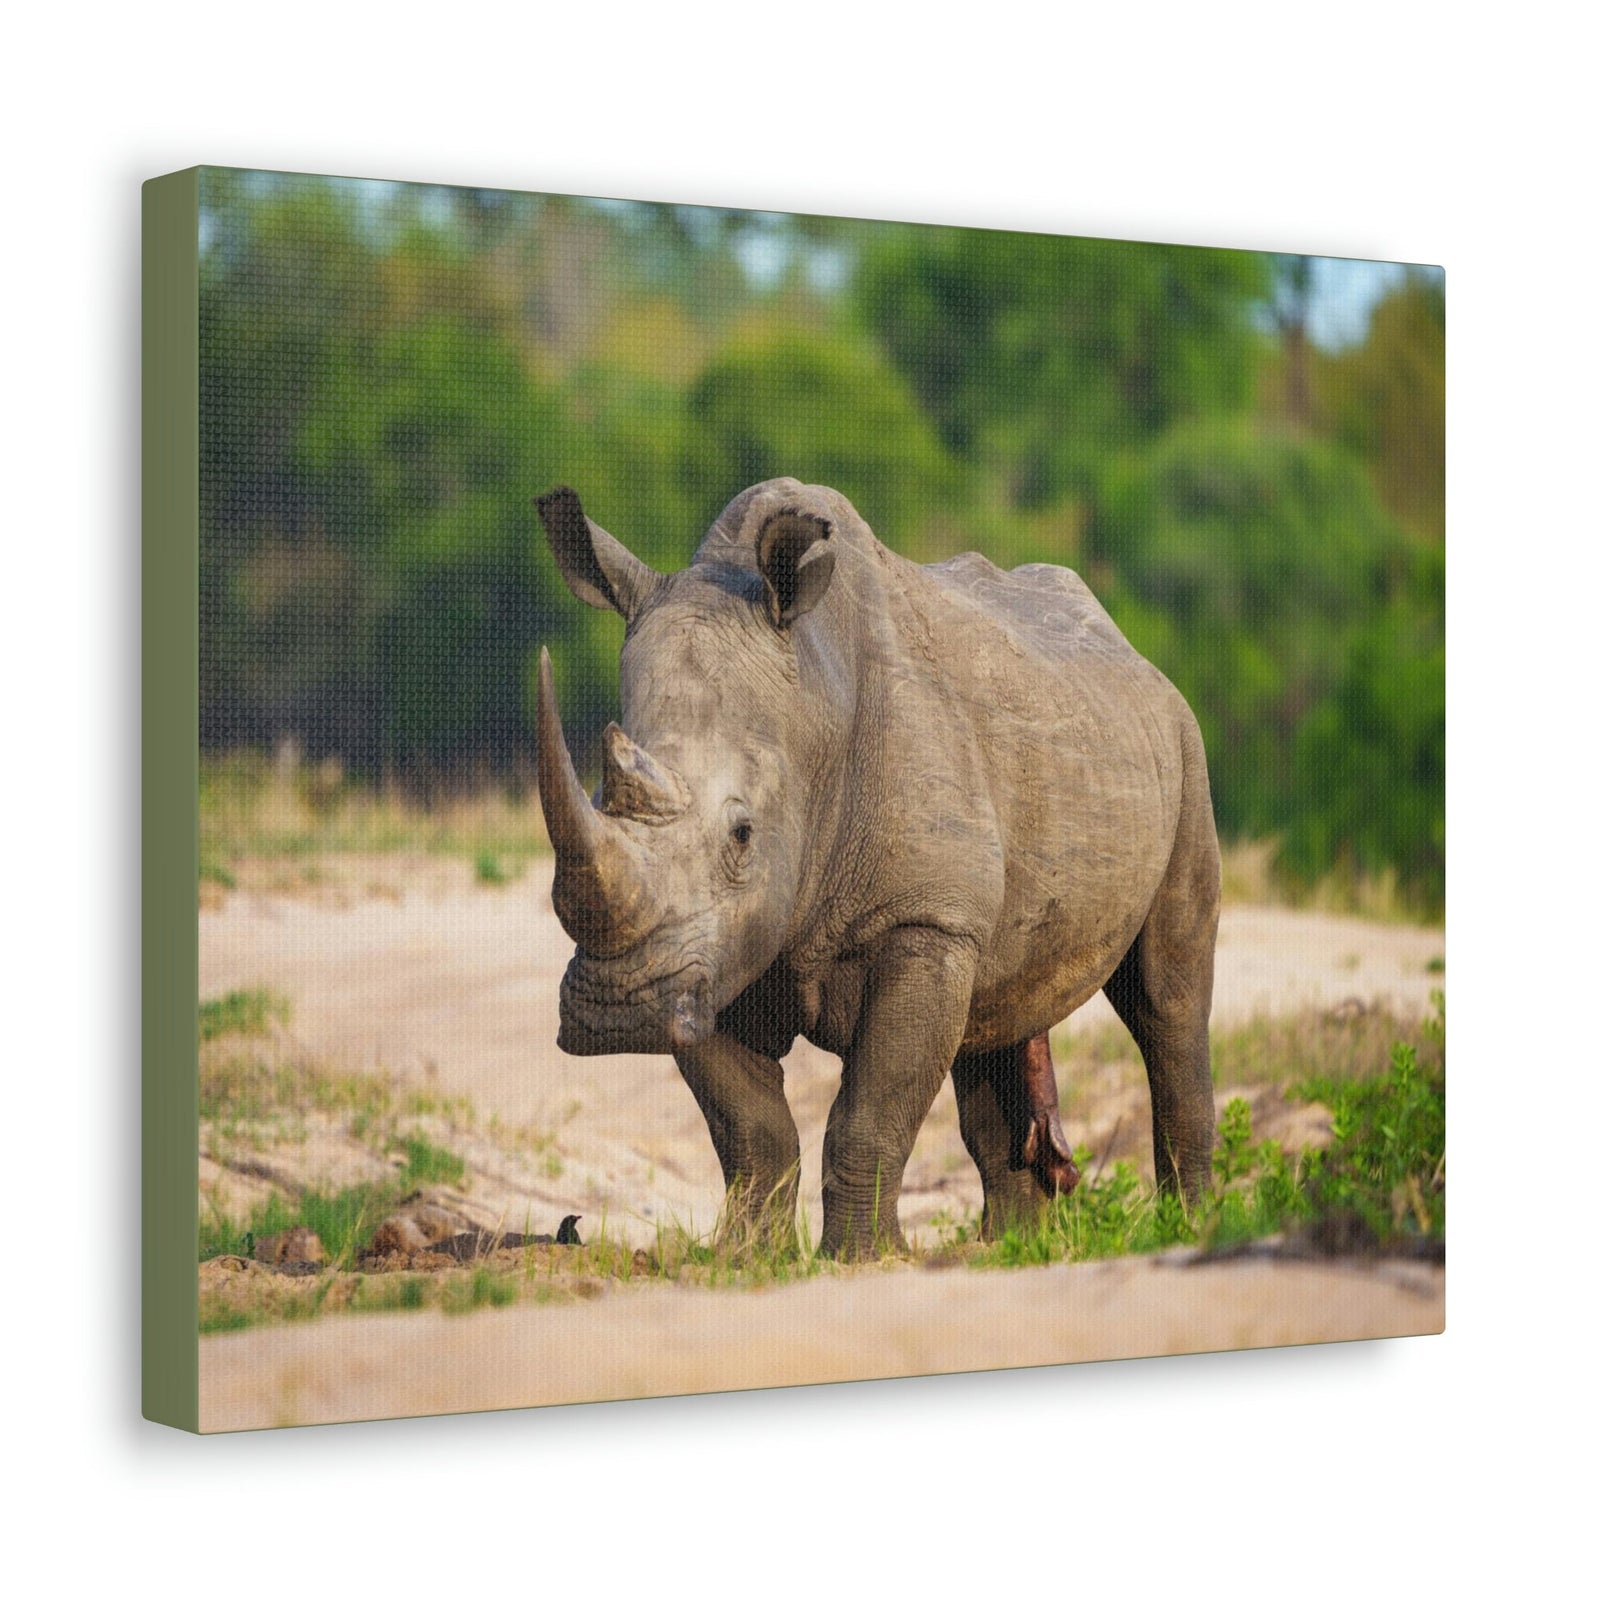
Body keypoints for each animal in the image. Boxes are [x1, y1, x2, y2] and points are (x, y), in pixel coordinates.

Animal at [534, 479, 1220, 1257]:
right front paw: (747, 1258)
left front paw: (862, 1258)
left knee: (1167, 999)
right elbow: (750, 1129)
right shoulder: (704, 955)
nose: (618, 1012)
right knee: (995, 1014)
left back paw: (1189, 1226)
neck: (814, 711)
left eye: (742, 834)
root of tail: (1130, 651)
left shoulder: (922, 920)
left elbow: (872, 1109)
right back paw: (1007, 1249)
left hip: (1183, 746)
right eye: (597, 801)